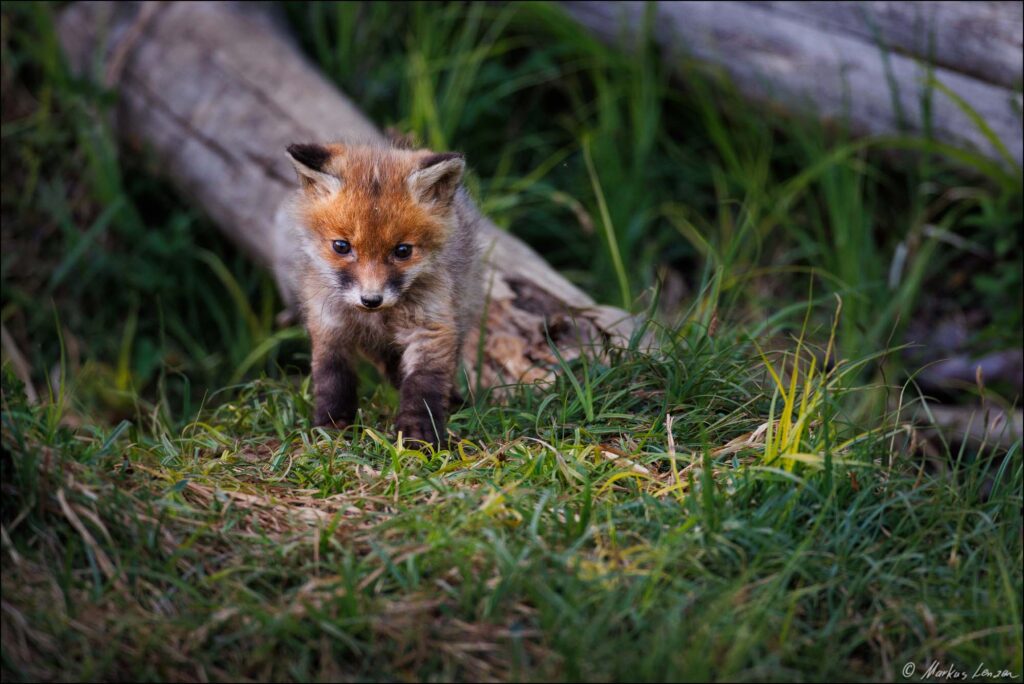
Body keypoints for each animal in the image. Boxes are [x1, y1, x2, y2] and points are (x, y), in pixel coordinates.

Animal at [282, 141, 481, 446]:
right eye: (341, 246)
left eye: (403, 251)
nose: (371, 299)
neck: (379, 318)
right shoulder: (330, 326)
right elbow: (332, 379)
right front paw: (333, 425)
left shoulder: (430, 327)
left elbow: (423, 384)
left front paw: (418, 433)